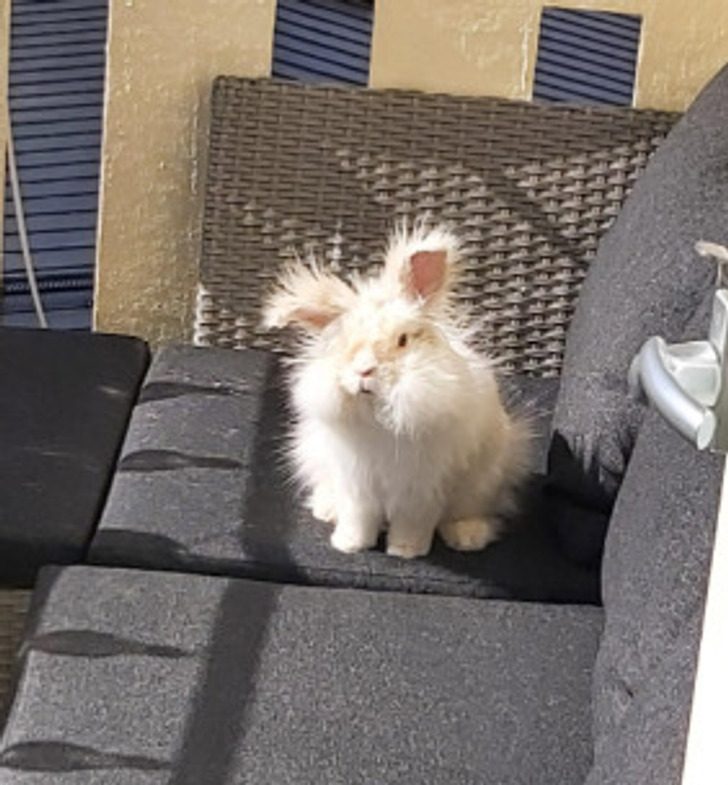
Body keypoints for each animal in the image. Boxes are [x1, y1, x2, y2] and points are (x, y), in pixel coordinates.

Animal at [263, 223, 532, 559]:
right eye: (345, 345)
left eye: (402, 341)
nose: (364, 371)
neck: (380, 418)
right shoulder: (355, 482)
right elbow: (358, 517)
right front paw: (349, 545)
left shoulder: (422, 488)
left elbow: (413, 522)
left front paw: (405, 551)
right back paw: (326, 509)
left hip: (482, 482)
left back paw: (467, 537)